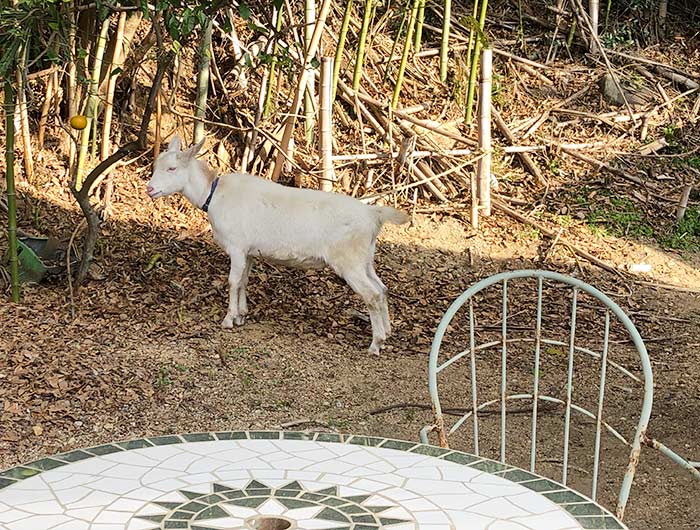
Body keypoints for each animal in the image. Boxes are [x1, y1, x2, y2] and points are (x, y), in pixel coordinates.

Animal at [148, 135, 410, 350]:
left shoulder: (237, 247)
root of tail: (374, 215)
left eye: (172, 168)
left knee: (372, 294)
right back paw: (387, 332)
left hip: (349, 261)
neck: (213, 195)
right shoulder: (249, 252)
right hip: (365, 259)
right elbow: (243, 281)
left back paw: (376, 343)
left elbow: (233, 281)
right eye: (156, 166)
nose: (150, 189)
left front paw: (228, 319)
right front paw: (241, 315)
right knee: (382, 288)